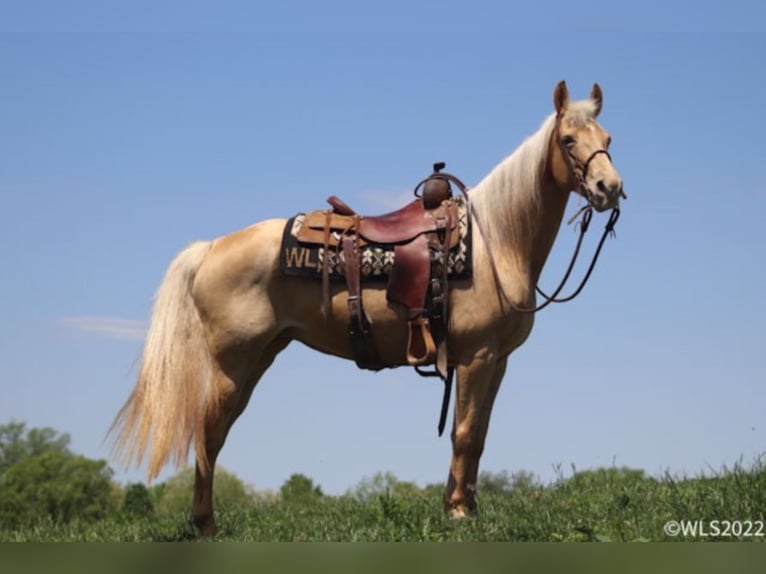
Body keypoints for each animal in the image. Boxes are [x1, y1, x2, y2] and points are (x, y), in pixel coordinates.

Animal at [108, 81, 624, 536]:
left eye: (608, 139)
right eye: (568, 139)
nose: (609, 188)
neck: (494, 243)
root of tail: (211, 247)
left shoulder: (496, 362)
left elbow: (477, 435)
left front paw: (464, 507)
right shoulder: (476, 357)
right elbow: (464, 433)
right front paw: (459, 512)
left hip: (258, 359)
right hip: (232, 364)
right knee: (208, 434)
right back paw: (205, 525)